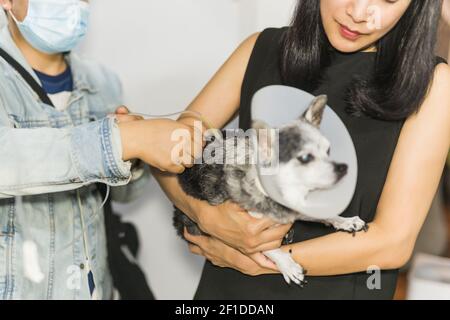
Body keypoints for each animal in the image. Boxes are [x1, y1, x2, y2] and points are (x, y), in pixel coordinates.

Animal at [174, 94, 368, 284]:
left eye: (328, 151)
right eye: (305, 158)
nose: (343, 168)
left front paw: (344, 221)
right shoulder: (246, 230)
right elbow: (268, 249)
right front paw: (288, 266)